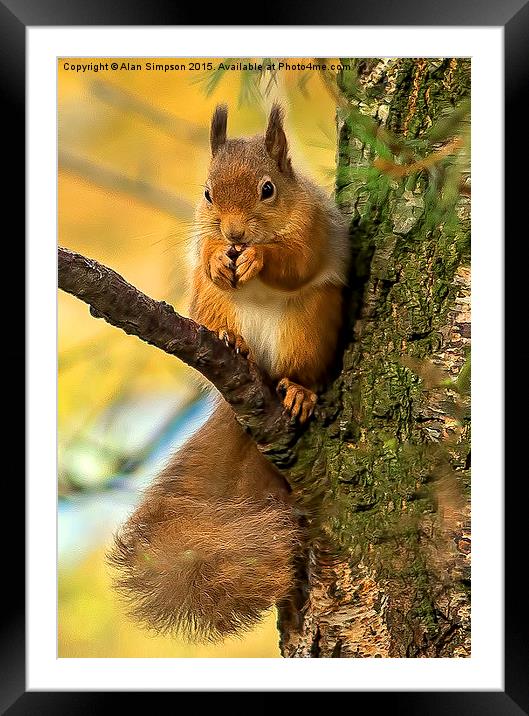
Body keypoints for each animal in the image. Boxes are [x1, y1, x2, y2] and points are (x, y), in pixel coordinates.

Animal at [109, 105, 348, 644]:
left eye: (268, 189)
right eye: (207, 193)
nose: (235, 236)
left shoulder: (313, 227)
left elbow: (296, 262)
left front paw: (262, 257)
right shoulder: (204, 233)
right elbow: (204, 253)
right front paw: (220, 258)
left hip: (310, 324)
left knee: (299, 363)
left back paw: (297, 389)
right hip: (209, 305)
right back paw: (234, 343)